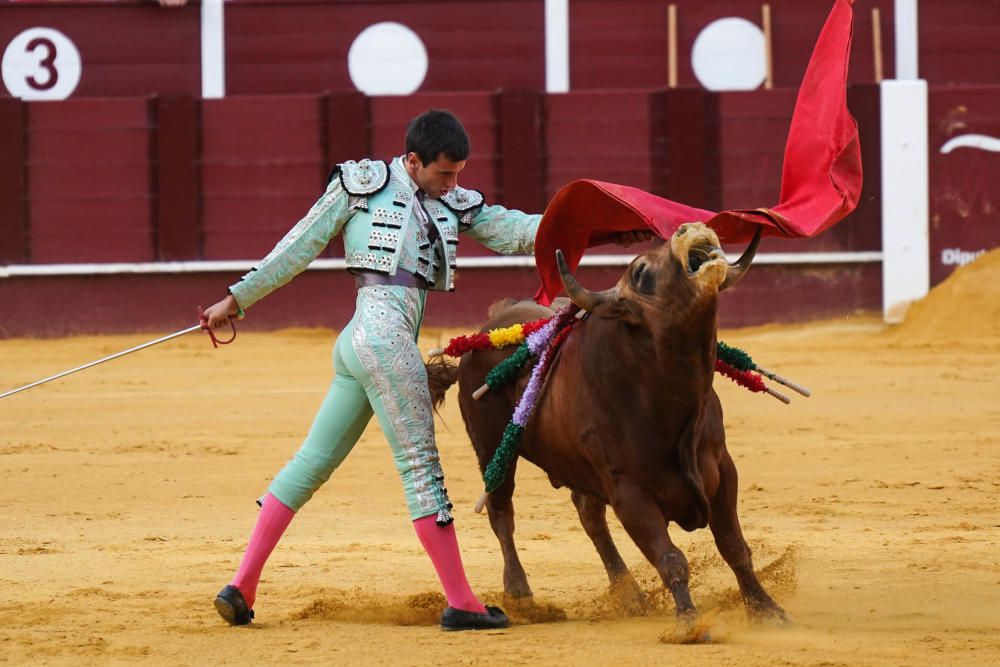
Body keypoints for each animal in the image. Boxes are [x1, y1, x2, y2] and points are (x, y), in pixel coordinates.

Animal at [426, 222, 784, 636]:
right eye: (641, 273)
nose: (687, 227)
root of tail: (483, 334)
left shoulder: (723, 471)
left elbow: (734, 547)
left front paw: (766, 609)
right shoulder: (629, 492)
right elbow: (670, 558)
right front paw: (689, 624)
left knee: (590, 517)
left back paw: (628, 593)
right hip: (490, 448)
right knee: (502, 512)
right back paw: (521, 595)